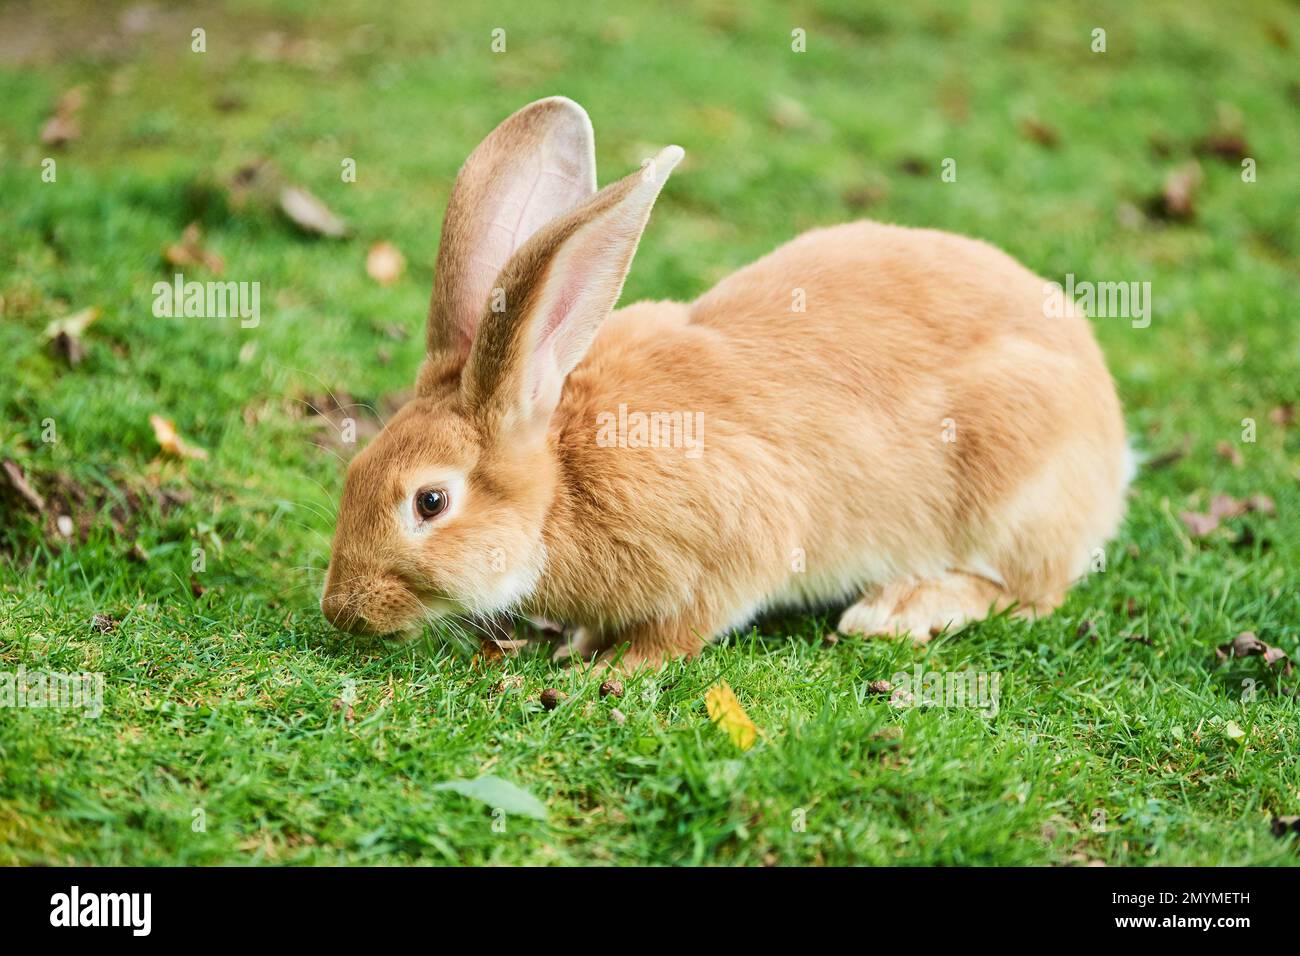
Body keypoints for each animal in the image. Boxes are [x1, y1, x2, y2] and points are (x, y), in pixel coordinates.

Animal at [321, 96, 1131, 672]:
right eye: (355, 472)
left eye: (430, 502)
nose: (341, 610)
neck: (562, 486)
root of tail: (1109, 436)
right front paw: (582, 643)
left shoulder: (737, 541)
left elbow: (689, 625)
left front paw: (610, 667)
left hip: (1009, 488)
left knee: (1027, 592)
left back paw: (895, 609)